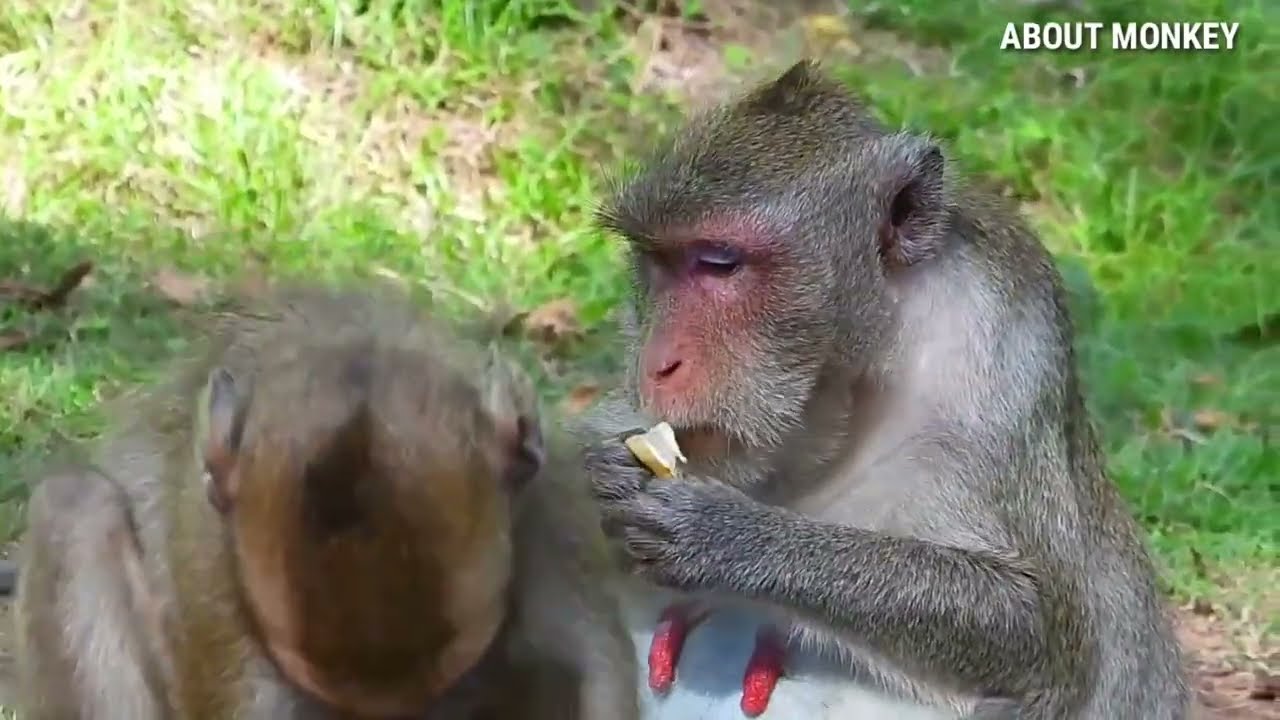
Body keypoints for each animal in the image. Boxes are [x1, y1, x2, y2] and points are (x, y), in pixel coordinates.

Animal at [573, 60, 1190, 719]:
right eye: (653, 263)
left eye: (718, 263)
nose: (657, 363)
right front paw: (606, 470)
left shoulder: (1004, 351)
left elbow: (1042, 627)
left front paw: (723, 537)